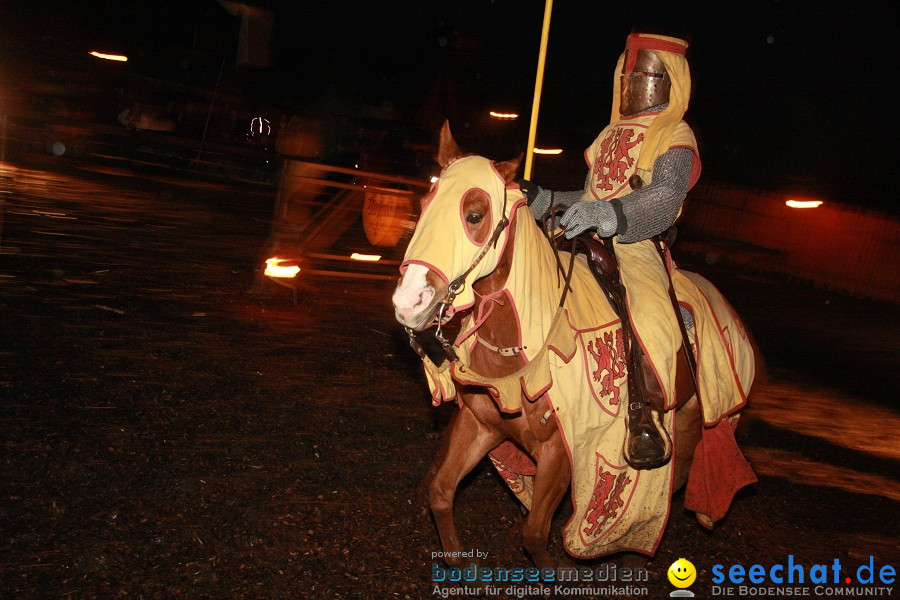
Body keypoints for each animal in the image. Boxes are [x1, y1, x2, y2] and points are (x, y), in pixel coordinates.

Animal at [396, 122, 760, 568]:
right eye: (425, 202)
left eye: (475, 215)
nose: (408, 301)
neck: (526, 348)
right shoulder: (479, 425)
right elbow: (441, 493)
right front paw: (461, 565)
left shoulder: (562, 453)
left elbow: (535, 534)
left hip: (692, 424)